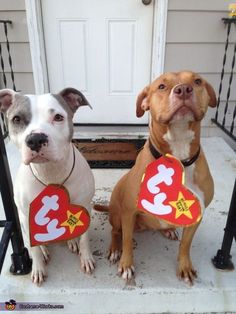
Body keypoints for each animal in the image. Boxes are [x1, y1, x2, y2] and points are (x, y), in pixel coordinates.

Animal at [0, 87, 96, 286]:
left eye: (58, 117)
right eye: (17, 119)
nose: (35, 139)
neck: (51, 172)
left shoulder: (85, 206)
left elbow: (84, 239)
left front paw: (86, 257)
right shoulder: (24, 213)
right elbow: (34, 248)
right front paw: (37, 268)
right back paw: (44, 251)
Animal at [95, 71, 217, 284]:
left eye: (197, 81)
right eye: (161, 86)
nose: (183, 89)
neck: (178, 159)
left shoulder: (197, 215)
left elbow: (186, 245)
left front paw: (185, 267)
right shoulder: (129, 212)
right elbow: (127, 241)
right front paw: (126, 265)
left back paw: (167, 229)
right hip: (117, 213)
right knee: (116, 231)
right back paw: (115, 248)